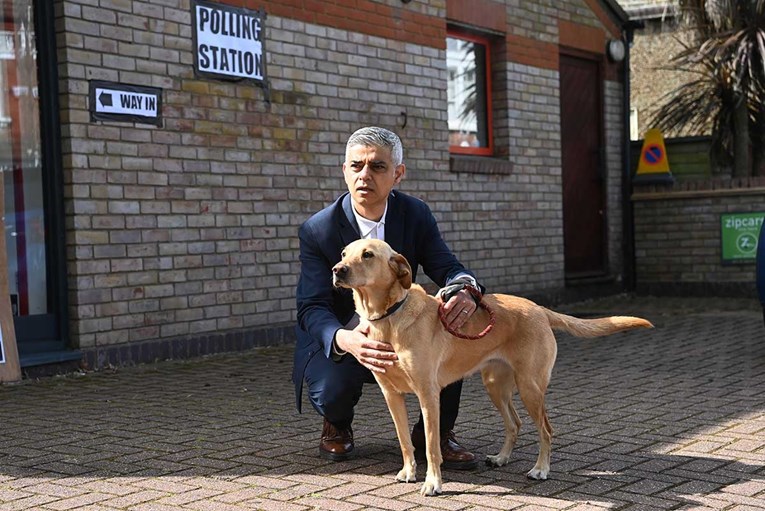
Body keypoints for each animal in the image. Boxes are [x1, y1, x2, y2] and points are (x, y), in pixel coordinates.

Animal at [330, 240, 652, 496]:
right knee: (515, 423)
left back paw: (540, 469)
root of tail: (539, 309)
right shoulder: (391, 394)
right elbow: (405, 441)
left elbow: (431, 446)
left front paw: (433, 483)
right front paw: (409, 472)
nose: (337, 269)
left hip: (530, 387)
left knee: (546, 430)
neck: (389, 317)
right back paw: (501, 458)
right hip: (496, 386)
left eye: (368, 254)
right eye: (344, 252)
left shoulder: (428, 395)